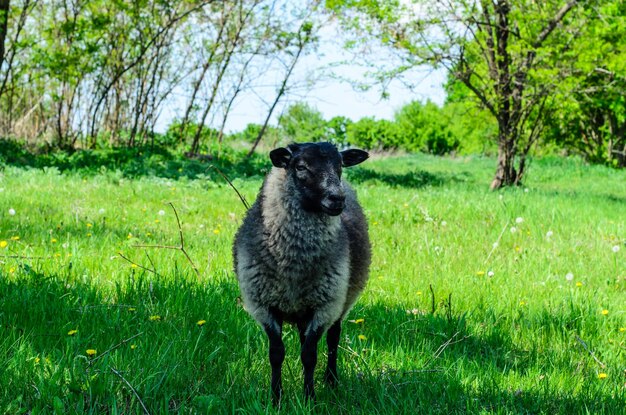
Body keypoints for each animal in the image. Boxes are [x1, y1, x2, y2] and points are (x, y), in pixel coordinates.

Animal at [234, 142, 370, 404]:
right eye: (300, 166)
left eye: (340, 165)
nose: (337, 198)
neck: (293, 268)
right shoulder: (263, 306)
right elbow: (276, 354)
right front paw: (276, 398)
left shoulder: (324, 307)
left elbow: (310, 355)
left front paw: (309, 398)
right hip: (302, 310)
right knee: (303, 338)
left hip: (340, 301)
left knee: (333, 338)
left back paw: (331, 380)